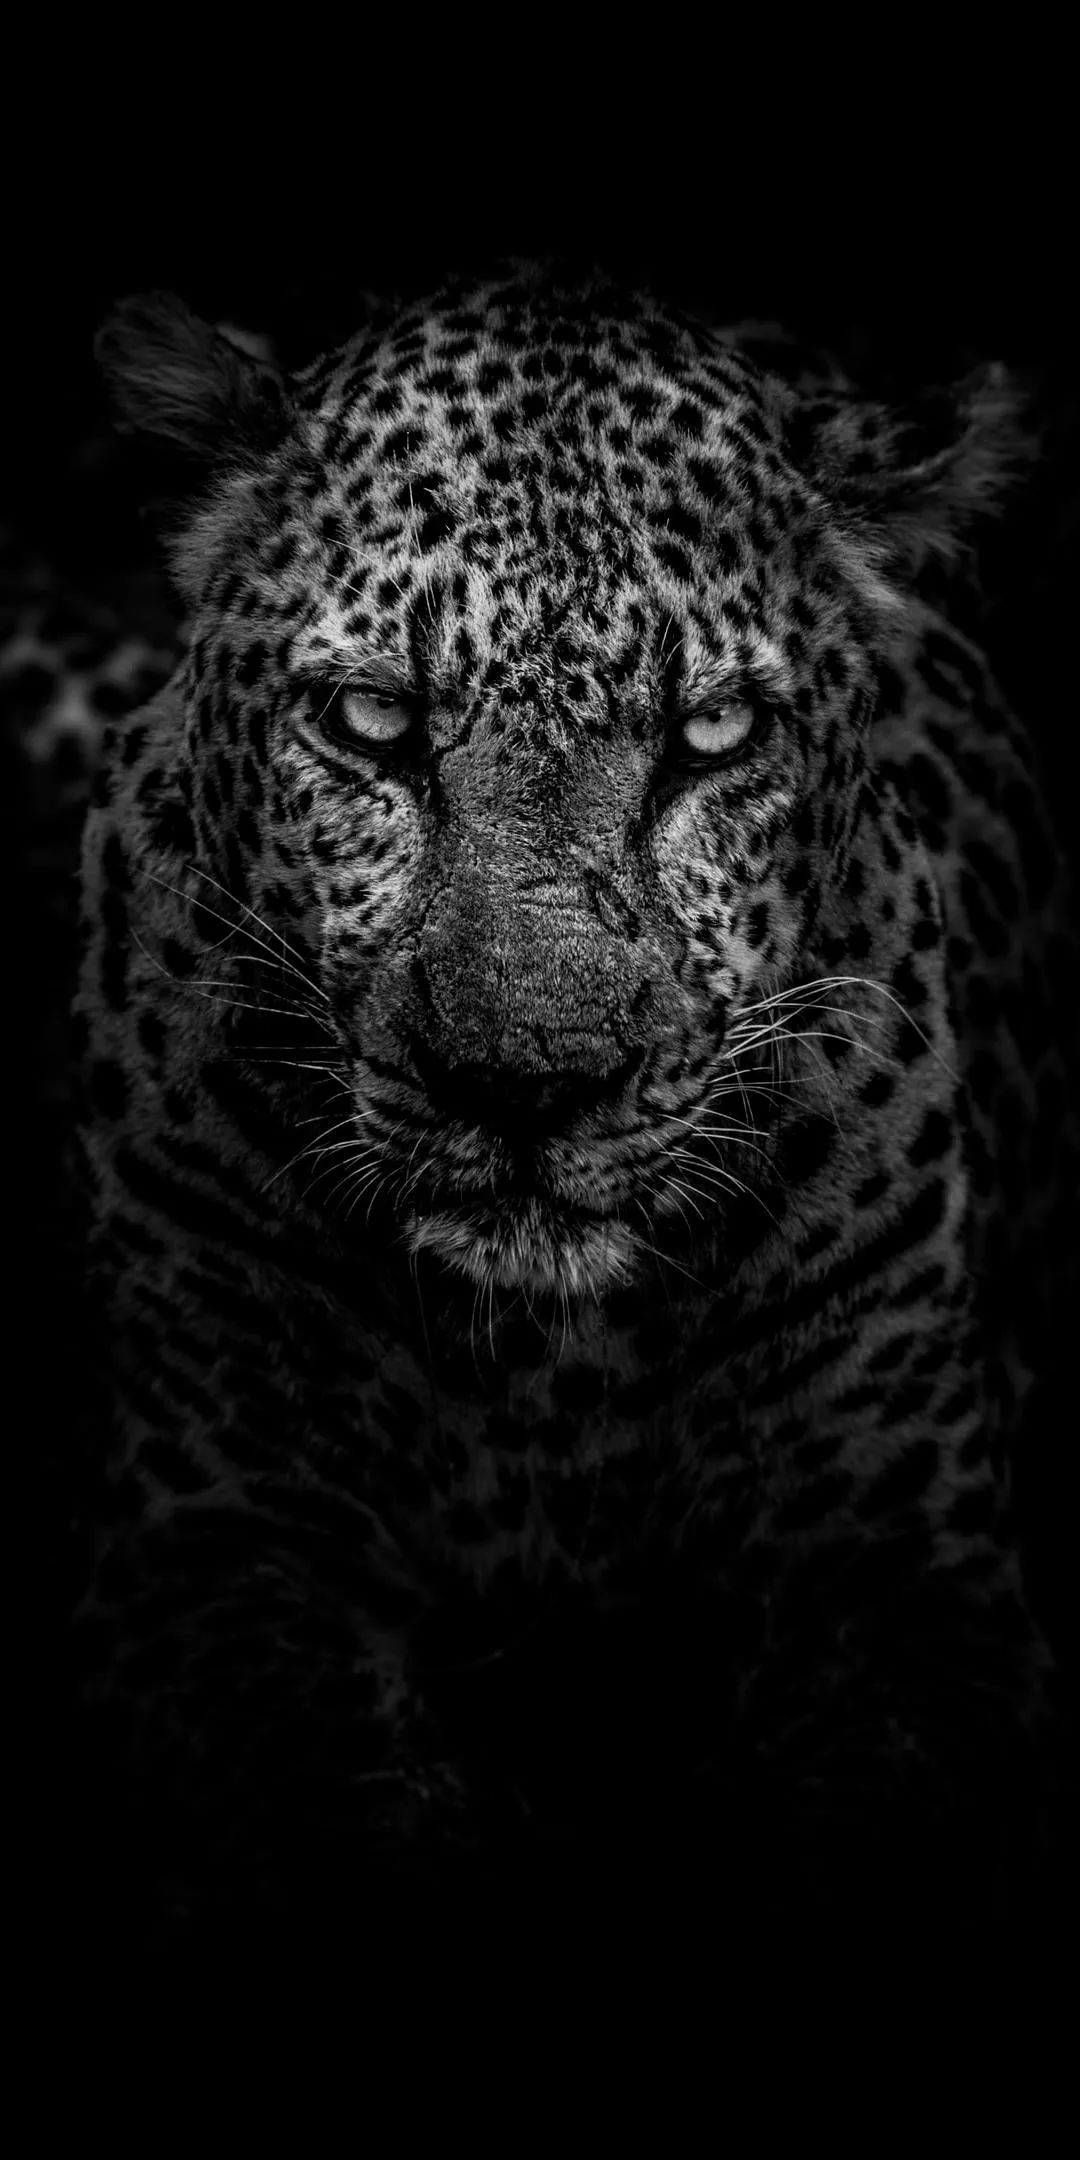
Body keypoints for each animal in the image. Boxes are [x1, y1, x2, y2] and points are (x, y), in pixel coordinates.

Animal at [63, 260, 1076, 1959]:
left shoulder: (899, 1570)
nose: (525, 1080)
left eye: (714, 738)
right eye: (371, 723)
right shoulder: (212, 1545)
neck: (543, 1372)